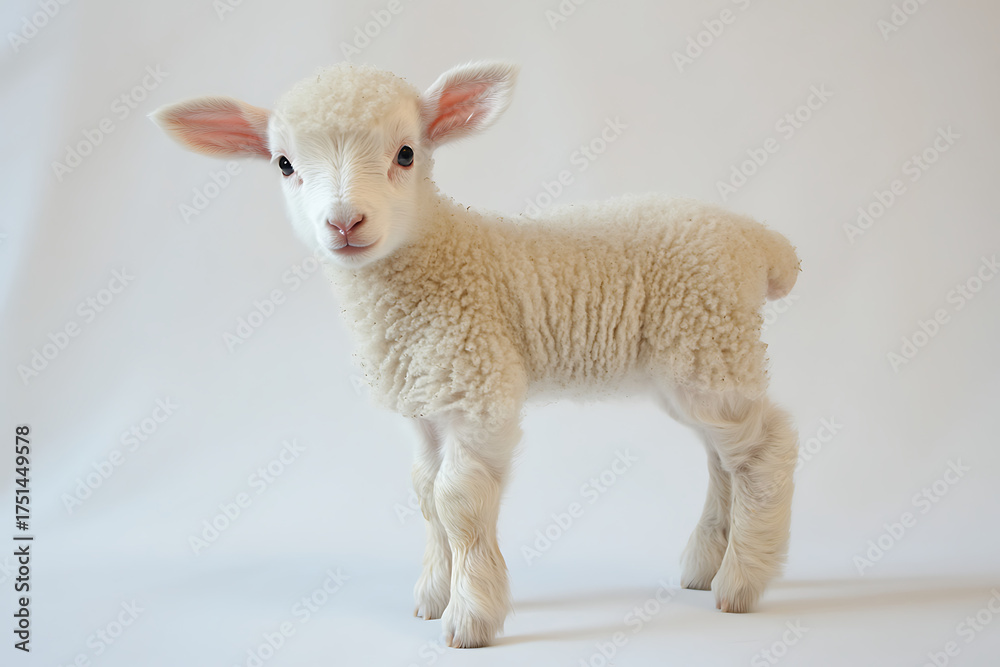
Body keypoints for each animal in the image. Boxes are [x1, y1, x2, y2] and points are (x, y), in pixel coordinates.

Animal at [152, 60, 801, 649]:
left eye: (406, 154)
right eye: (284, 165)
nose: (344, 222)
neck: (438, 258)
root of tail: (759, 241)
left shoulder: (476, 385)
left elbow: (457, 502)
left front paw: (471, 618)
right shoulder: (425, 403)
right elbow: (425, 494)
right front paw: (434, 595)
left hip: (708, 340)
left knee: (766, 448)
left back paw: (742, 582)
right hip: (698, 362)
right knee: (724, 457)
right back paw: (707, 564)